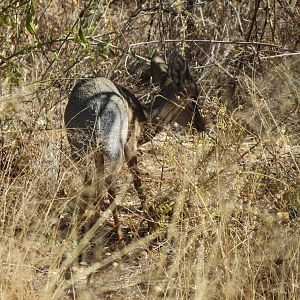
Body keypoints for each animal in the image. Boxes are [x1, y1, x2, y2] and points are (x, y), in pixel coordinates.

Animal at [64, 51, 205, 244]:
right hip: (114, 148)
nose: (202, 125)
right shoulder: (130, 146)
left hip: (79, 149)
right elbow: (138, 183)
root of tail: (95, 109)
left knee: (88, 182)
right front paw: (152, 226)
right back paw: (119, 237)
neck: (143, 120)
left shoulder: (98, 155)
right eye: (193, 97)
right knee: (110, 183)